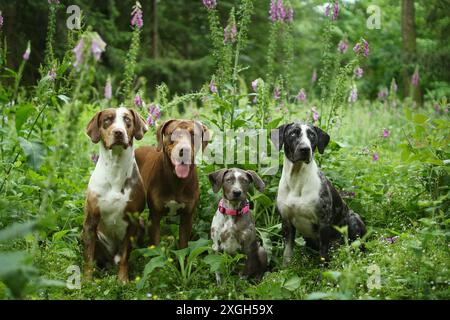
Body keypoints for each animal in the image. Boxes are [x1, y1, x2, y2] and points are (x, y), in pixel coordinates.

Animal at [81, 106, 149, 282]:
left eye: (127, 120)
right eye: (107, 120)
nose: (118, 132)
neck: (115, 169)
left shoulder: (132, 222)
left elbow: (125, 256)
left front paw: (123, 280)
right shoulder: (90, 221)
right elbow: (89, 257)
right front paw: (87, 281)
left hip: (142, 224)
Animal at [134, 119, 210, 249]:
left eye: (193, 134)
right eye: (173, 134)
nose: (184, 150)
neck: (177, 181)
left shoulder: (187, 217)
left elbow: (183, 246)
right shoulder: (154, 217)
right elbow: (156, 245)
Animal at [270, 121, 366, 264]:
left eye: (312, 135)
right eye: (293, 133)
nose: (305, 149)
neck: (297, 179)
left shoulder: (323, 223)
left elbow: (323, 254)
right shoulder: (286, 223)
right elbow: (287, 254)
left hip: (354, 219)